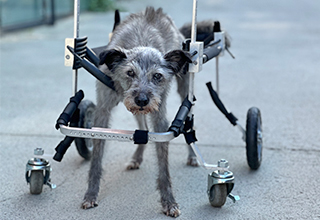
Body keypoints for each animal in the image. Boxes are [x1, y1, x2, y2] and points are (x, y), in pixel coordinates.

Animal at [81, 7, 204, 218]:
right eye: (130, 73)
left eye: (157, 76)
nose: (142, 100)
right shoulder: (102, 111)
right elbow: (96, 157)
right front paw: (91, 193)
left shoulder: (159, 116)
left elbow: (163, 162)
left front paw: (168, 201)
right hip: (135, 111)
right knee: (143, 129)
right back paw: (137, 157)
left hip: (185, 92)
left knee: (188, 122)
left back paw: (192, 155)